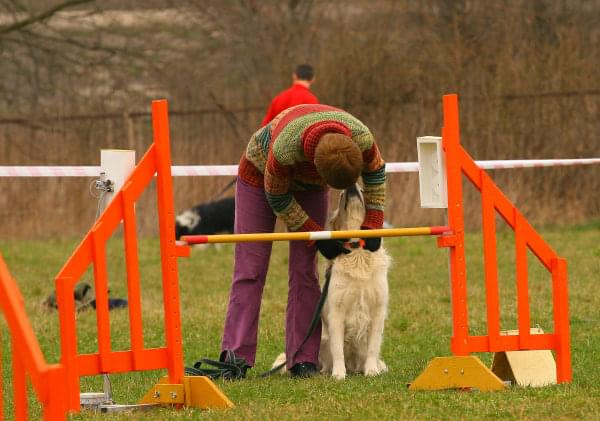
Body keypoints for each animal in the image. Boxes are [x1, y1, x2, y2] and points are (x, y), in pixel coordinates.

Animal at [274, 182, 394, 378]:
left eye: (362, 190)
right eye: (342, 196)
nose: (351, 185)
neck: (357, 251)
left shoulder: (378, 310)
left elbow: (373, 346)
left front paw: (371, 370)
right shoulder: (337, 312)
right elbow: (337, 348)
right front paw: (339, 374)